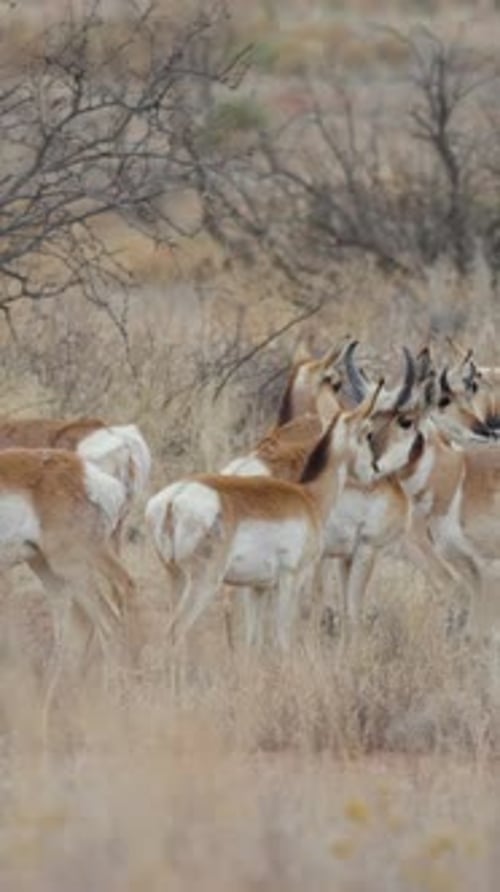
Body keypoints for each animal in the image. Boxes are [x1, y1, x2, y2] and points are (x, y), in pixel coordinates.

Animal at [145, 386, 384, 652]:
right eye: (368, 433)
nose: (375, 471)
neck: (309, 497)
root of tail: (173, 499)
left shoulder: (257, 588)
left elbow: (253, 643)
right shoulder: (291, 579)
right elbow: (283, 639)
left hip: (176, 578)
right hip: (203, 583)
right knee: (174, 633)